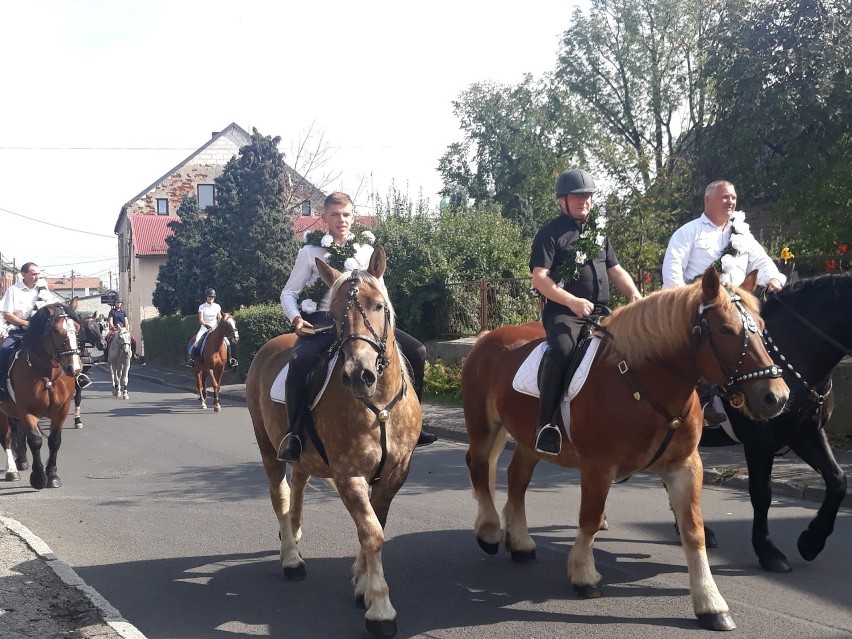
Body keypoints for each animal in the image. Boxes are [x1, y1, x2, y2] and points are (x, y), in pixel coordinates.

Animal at [0, 302, 83, 492]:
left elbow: (54, 441)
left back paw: (21, 461)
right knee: (6, 437)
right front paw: (38, 478)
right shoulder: (26, 410)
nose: (74, 368)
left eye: (77, 328)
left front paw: (52, 476)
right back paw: (12, 470)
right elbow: (35, 440)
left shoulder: (62, 409)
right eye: (56, 331)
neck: (47, 374)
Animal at [245, 246, 422, 639]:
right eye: (336, 315)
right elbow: (371, 532)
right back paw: (291, 558)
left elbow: (374, 526)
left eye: (377, 305)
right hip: (267, 448)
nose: (359, 374)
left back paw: (294, 532)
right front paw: (380, 608)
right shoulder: (349, 475)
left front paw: (362, 585)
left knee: (297, 483)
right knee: (280, 494)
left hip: (303, 454)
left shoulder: (394, 475)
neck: (377, 406)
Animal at [462, 268, 788, 632]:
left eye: (761, 326)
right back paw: (490, 532)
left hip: (529, 442)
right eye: (725, 330)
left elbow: (693, 530)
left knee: (516, 479)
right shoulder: (598, 466)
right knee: (478, 467)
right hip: (483, 427)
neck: (643, 381)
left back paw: (520, 543)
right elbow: (590, 519)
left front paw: (710, 603)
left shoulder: (685, 466)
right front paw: (584, 575)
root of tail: (487, 337)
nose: (776, 397)